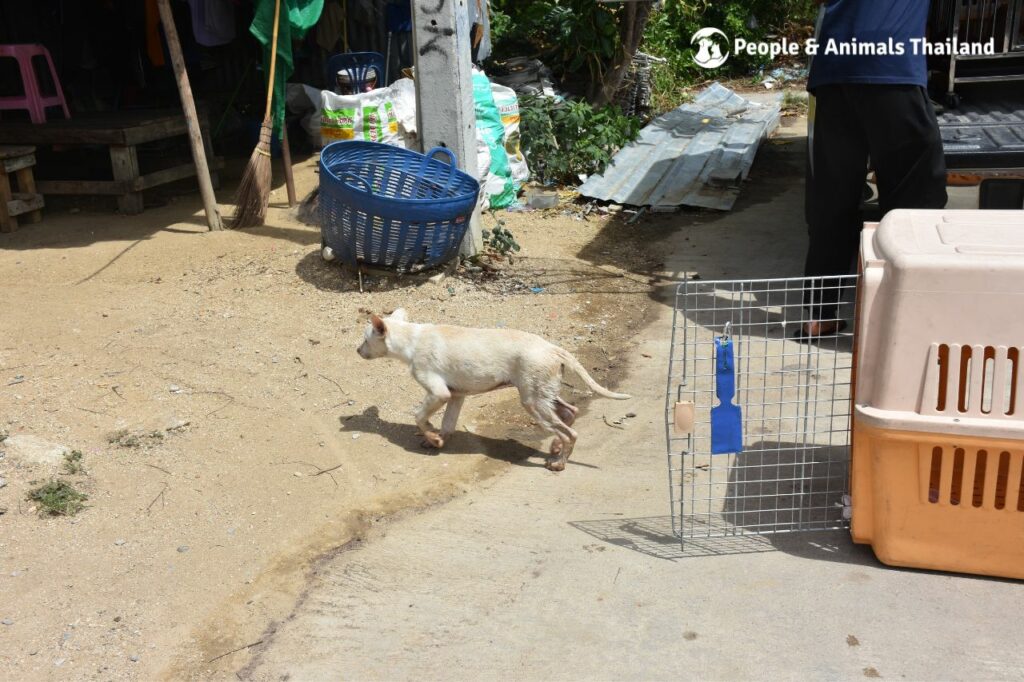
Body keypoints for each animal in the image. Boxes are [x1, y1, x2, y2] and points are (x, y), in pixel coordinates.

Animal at [360, 307, 630, 466]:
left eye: (365, 339)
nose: (357, 350)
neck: (412, 339)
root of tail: (552, 348)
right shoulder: (456, 395)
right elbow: (447, 424)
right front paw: (437, 440)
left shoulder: (439, 393)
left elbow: (419, 416)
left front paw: (432, 437)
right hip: (542, 393)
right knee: (570, 412)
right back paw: (555, 447)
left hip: (532, 401)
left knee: (570, 433)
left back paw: (559, 462)